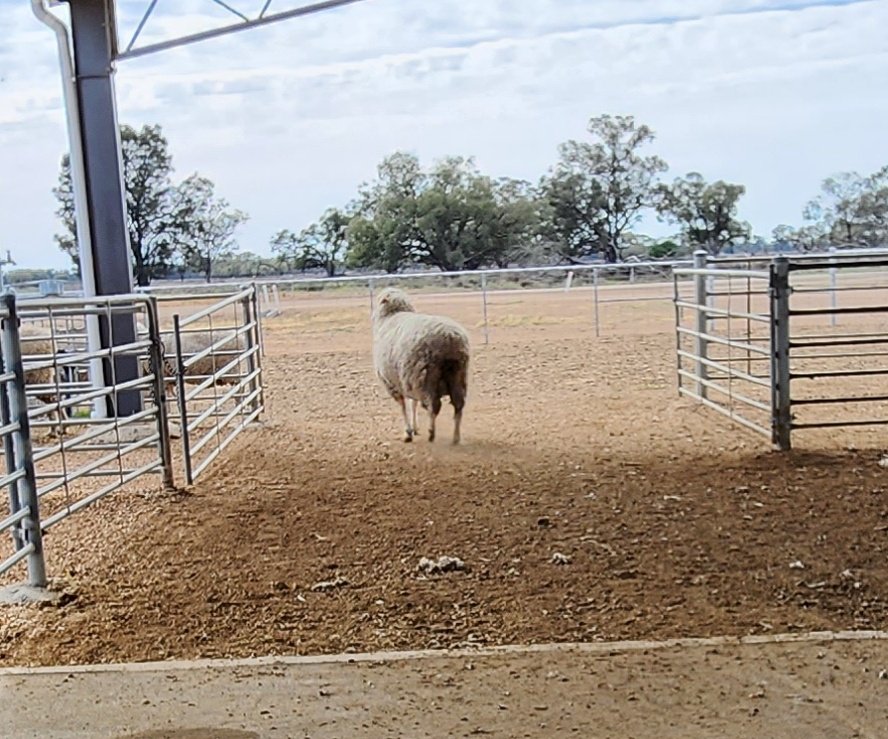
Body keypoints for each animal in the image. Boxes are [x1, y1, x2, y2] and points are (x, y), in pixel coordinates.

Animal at [372, 287, 469, 444]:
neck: (390, 316)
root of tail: (450, 338)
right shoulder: (407, 379)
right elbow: (413, 403)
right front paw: (415, 428)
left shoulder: (393, 383)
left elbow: (403, 406)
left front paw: (408, 433)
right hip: (457, 375)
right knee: (458, 405)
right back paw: (456, 437)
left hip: (427, 377)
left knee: (434, 406)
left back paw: (431, 433)